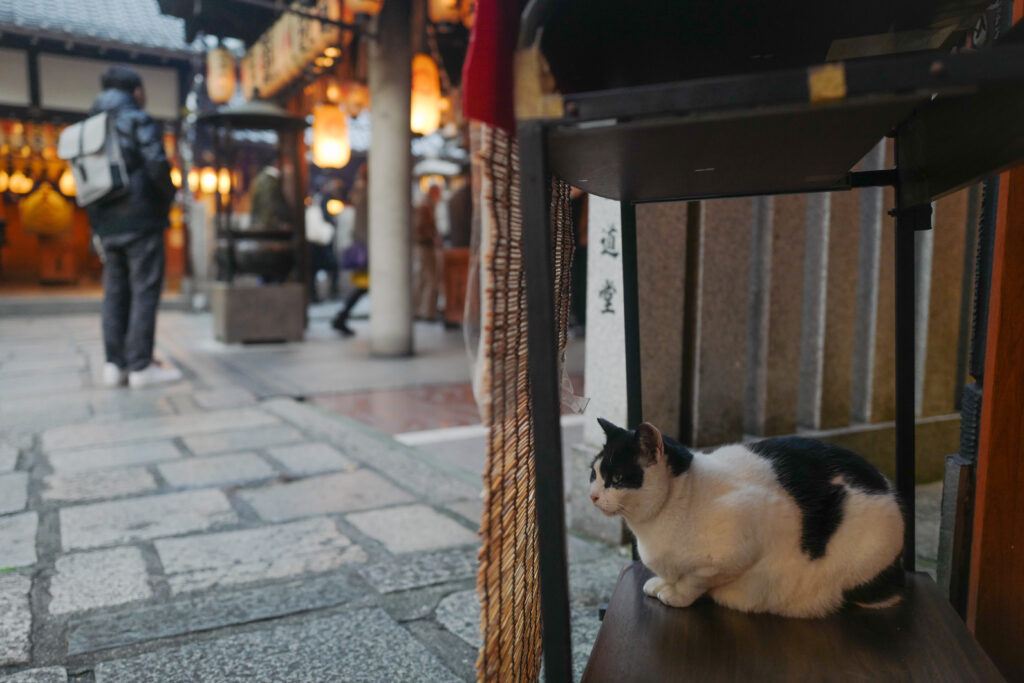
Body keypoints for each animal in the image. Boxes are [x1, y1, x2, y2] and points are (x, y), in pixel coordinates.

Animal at [593, 417, 905, 618]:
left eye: (617, 479)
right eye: (593, 474)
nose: (593, 496)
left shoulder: (746, 538)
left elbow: (696, 579)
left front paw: (676, 595)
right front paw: (661, 584)